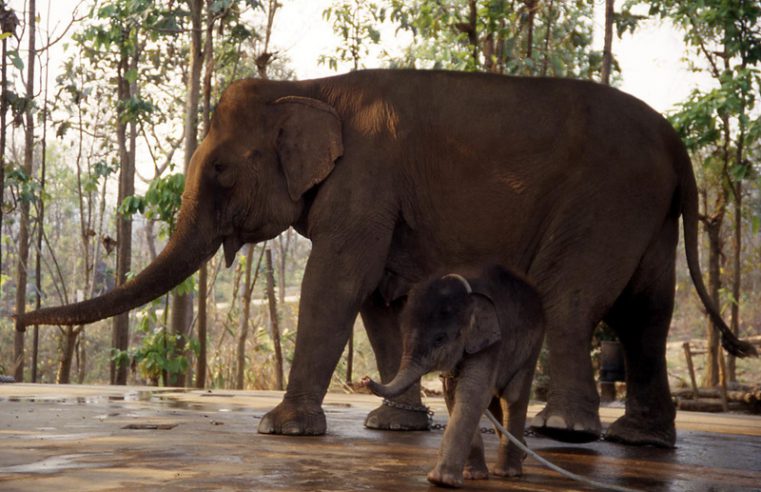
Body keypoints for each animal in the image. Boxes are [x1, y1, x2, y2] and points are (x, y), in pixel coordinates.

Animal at [17, 68, 756, 446]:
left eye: (222, 168)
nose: (19, 318)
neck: (310, 84)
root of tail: (678, 145)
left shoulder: (364, 180)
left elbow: (337, 281)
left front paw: (280, 430)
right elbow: (379, 297)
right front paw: (391, 426)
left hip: (607, 199)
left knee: (574, 301)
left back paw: (567, 431)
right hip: (647, 213)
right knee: (646, 314)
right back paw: (639, 440)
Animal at [360, 266, 544, 488]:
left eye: (440, 339)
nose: (365, 379)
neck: (468, 296)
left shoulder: (491, 344)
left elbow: (472, 393)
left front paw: (442, 481)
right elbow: (453, 394)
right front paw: (472, 476)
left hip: (532, 346)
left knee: (512, 396)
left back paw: (508, 473)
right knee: (495, 400)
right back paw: (521, 453)